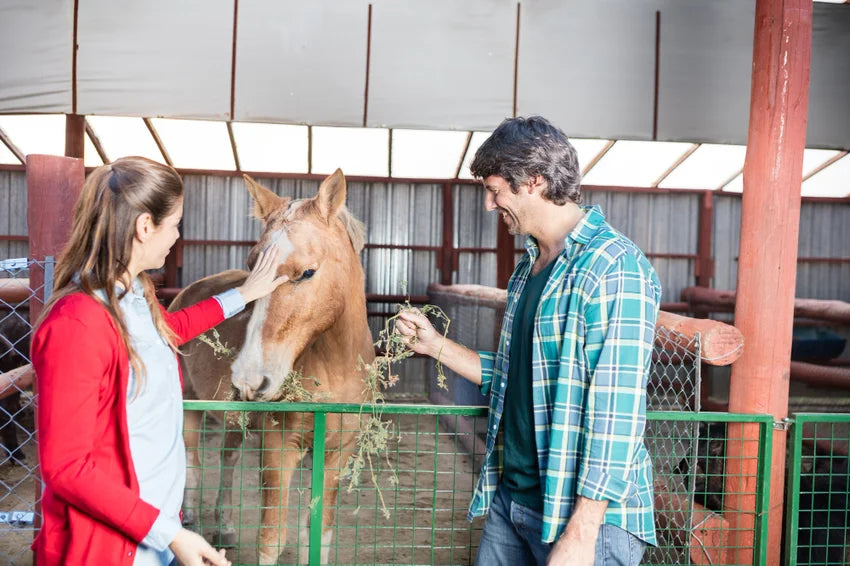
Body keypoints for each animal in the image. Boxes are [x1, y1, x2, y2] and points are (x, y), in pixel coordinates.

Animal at [169, 171, 372, 564]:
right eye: (252, 266)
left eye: (307, 272)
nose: (249, 378)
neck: (336, 371)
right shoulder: (279, 449)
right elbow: (271, 537)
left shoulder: (336, 453)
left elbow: (318, 534)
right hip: (190, 406)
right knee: (193, 459)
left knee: (228, 457)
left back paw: (225, 525)